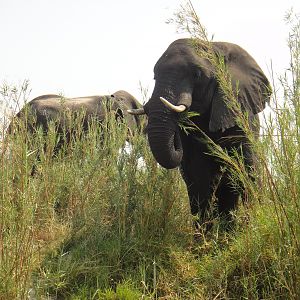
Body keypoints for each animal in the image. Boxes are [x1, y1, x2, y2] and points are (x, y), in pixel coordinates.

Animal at [129, 39, 272, 227]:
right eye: (154, 76)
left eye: (197, 74)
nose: (176, 132)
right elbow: (198, 174)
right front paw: (204, 234)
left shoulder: (238, 112)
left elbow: (247, 167)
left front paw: (252, 225)